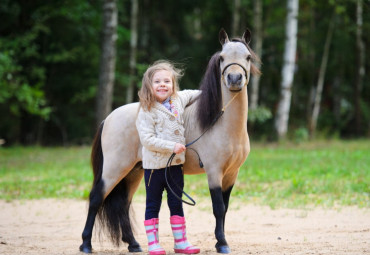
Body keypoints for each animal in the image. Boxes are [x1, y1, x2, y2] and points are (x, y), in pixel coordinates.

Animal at [80, 28, 262, 254]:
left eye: (247, 57)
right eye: (222, 58)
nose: (235, 78)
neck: (221, 124)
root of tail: (109, 118)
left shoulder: (231, 174)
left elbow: (225, 208)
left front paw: (220, 241)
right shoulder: (214, 172)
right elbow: (218, 208)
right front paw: (222, 243)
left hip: (134, 172)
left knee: (123, 204)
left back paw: (134, 244)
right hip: (114, 169)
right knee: (96, 198)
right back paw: (86, 244)